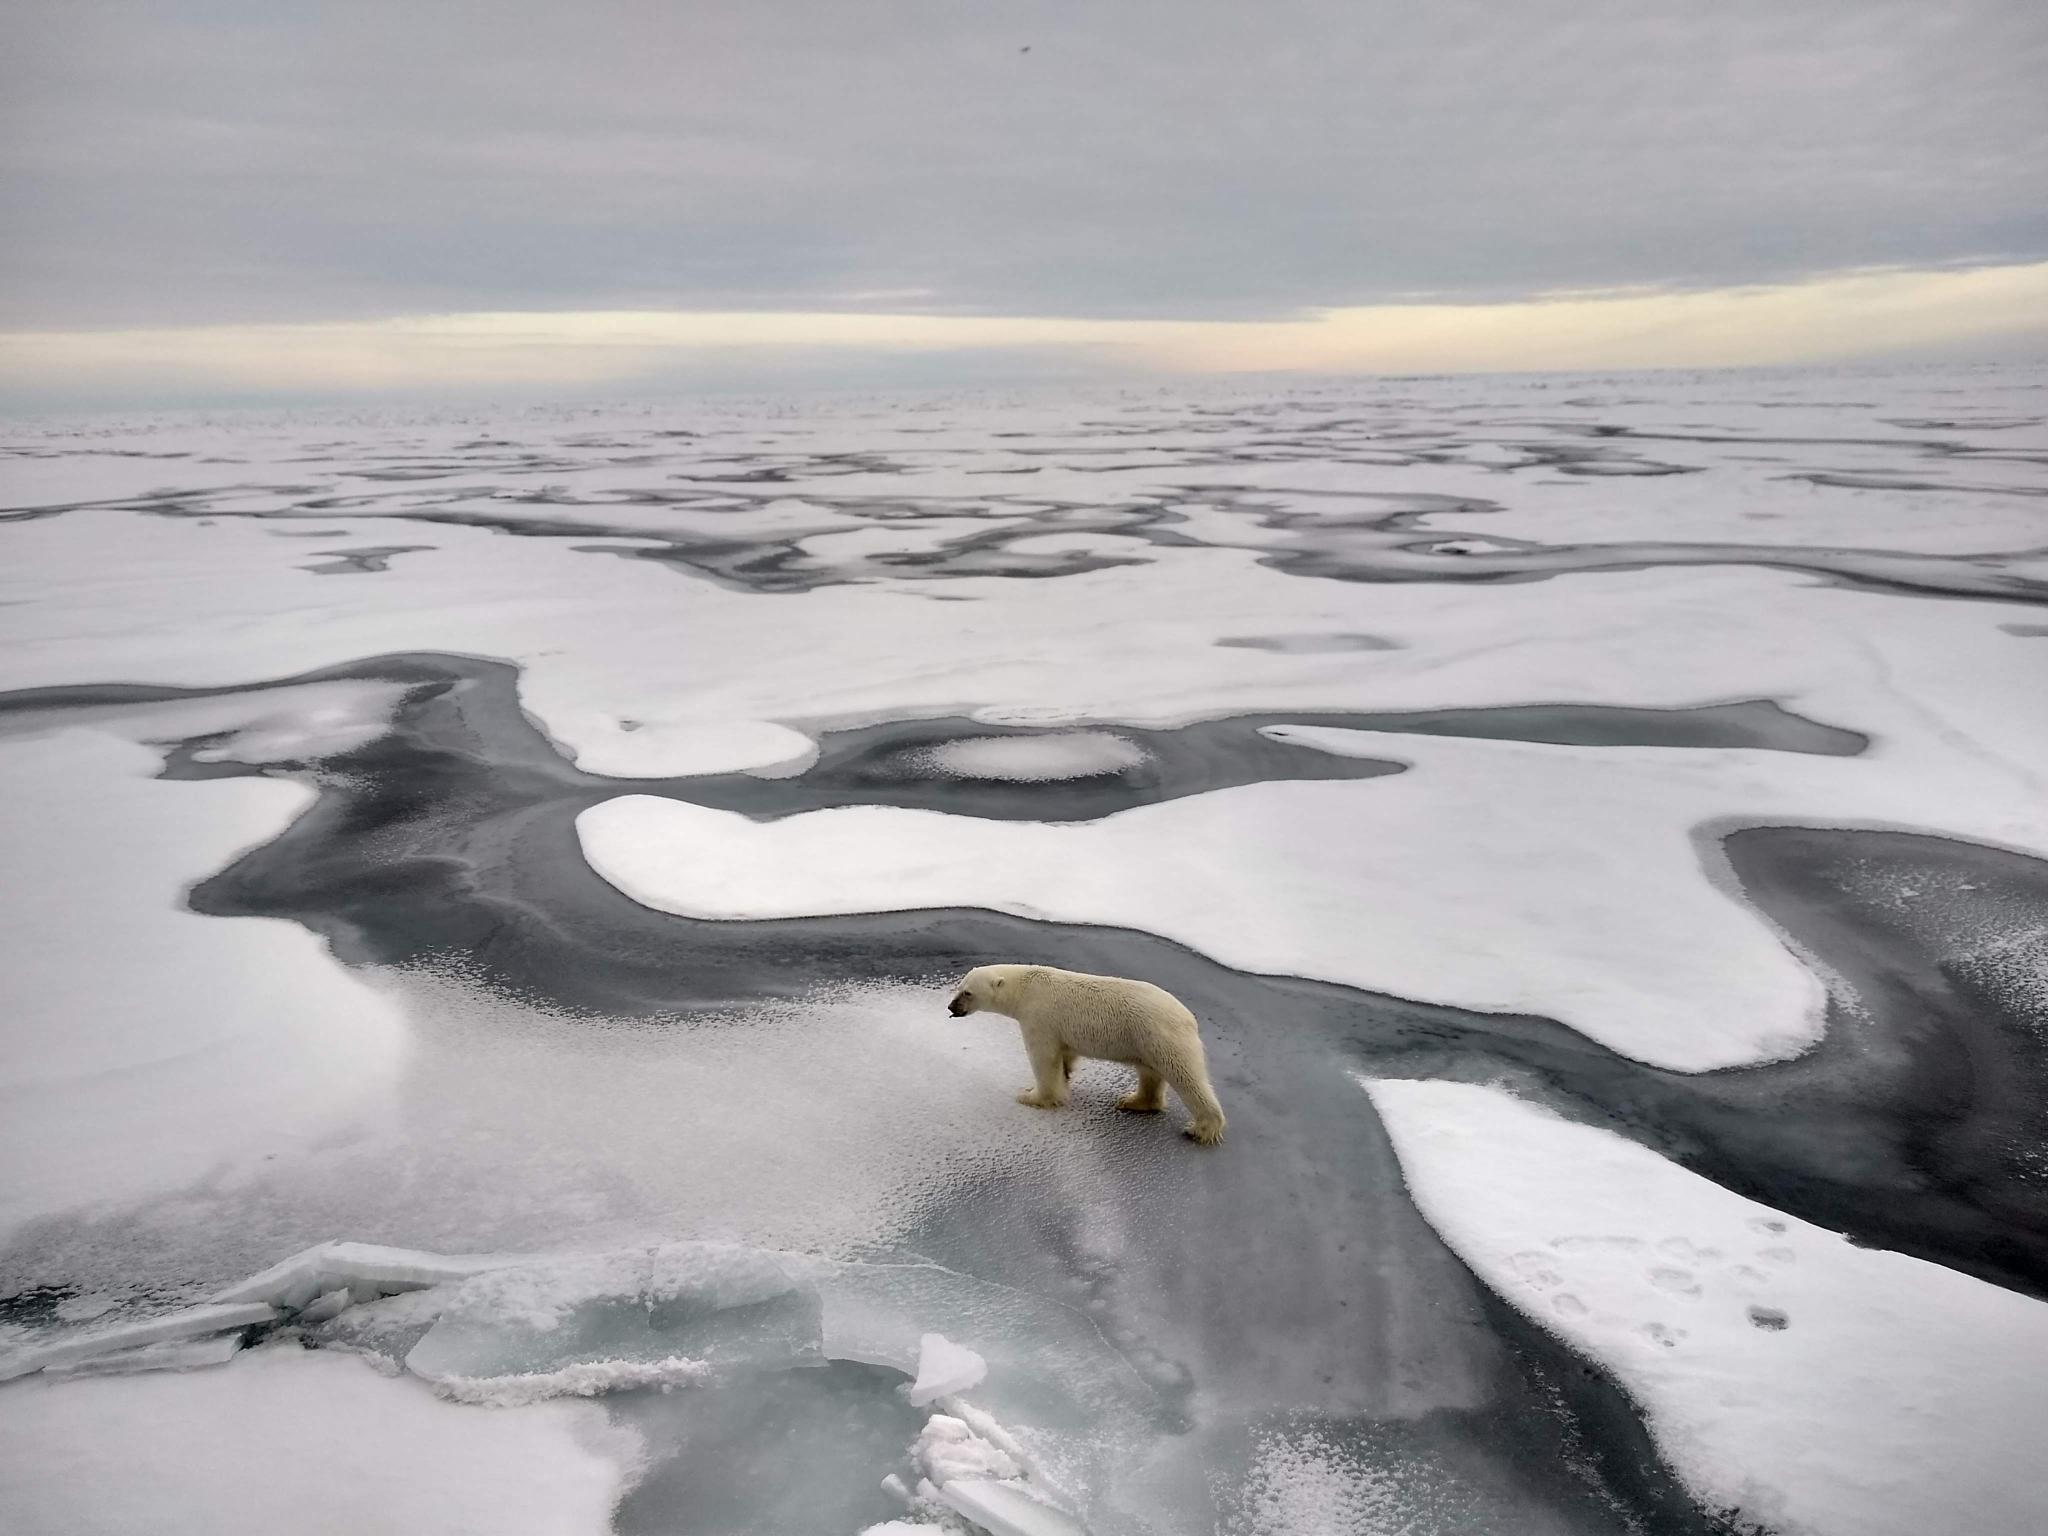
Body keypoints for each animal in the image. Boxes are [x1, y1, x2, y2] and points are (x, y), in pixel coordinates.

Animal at [946, 964, 1227, 1145]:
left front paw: (1031, 1096)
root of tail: (1189, 1017)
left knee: (1185, 1076)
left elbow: (1044, 1060)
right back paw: (1134, 1101)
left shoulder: (1039, 1017)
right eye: (959, 987)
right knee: (1150, 1073)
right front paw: (1067, 1073)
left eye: (967, 992)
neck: (1025, 987)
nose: (951, 1007)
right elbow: (1066, 1054)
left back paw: (1200, 1129)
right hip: (1145, 1042)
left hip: (1161, 1036)